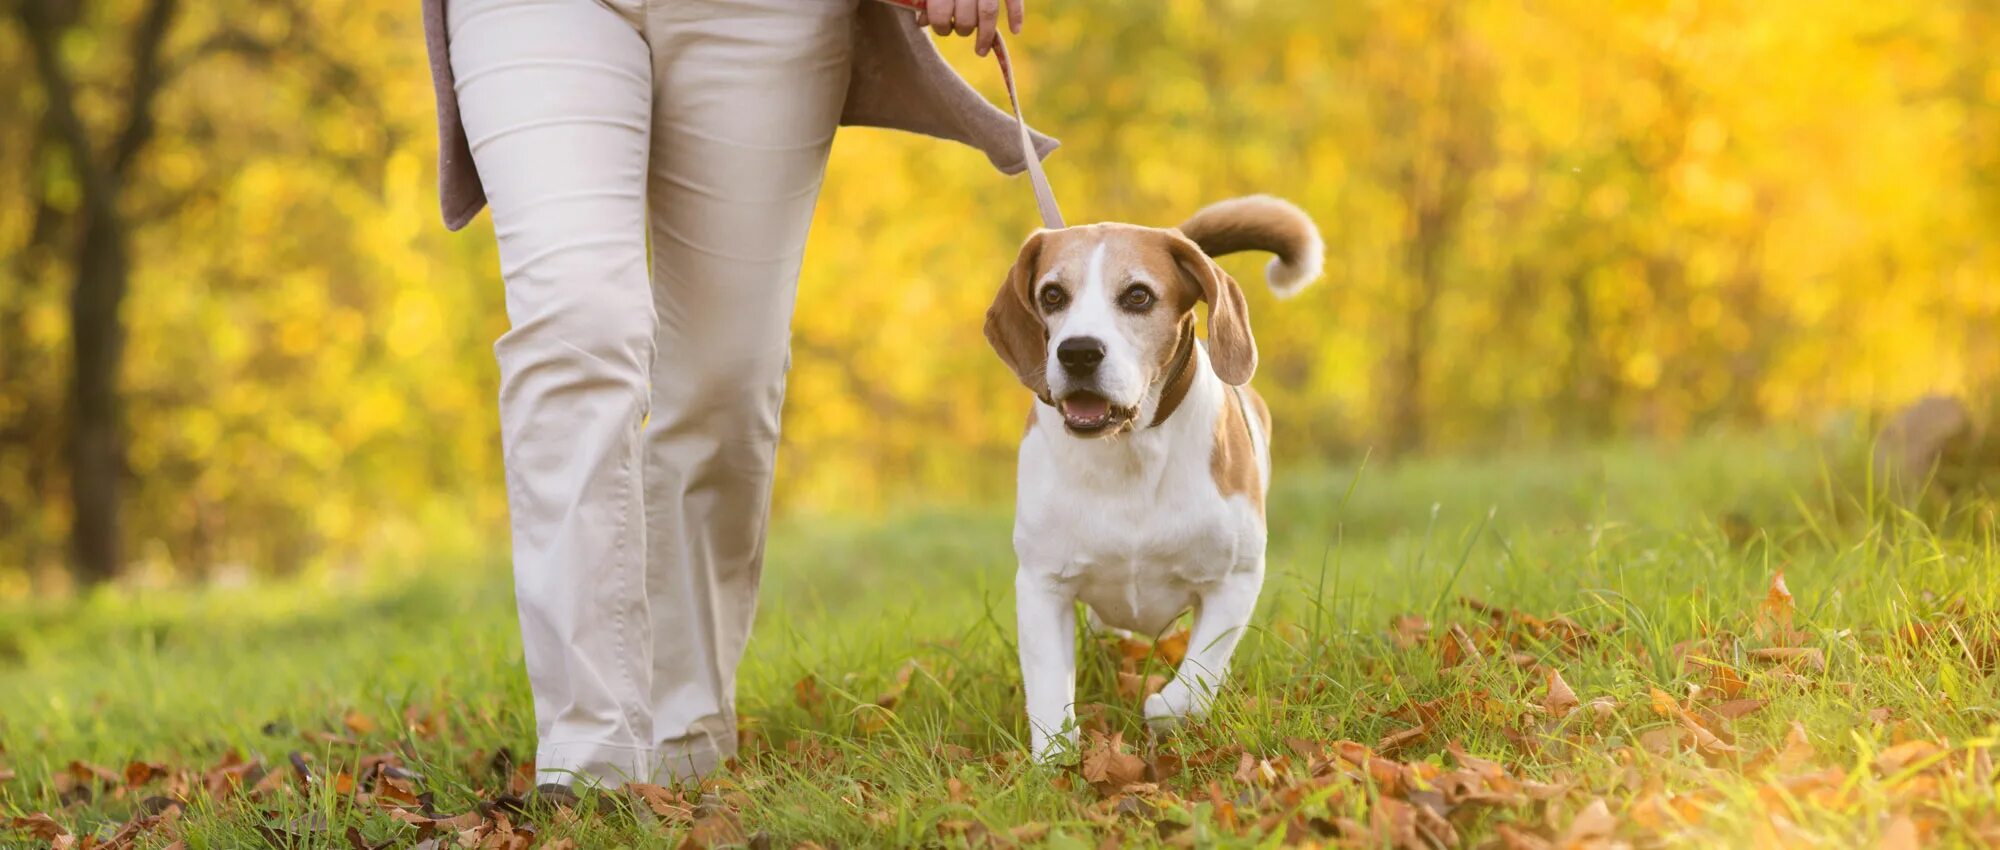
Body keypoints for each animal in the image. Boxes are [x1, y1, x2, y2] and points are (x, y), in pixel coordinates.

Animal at [988, 194, 1328, 756]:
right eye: (1052, 294)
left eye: (1138, 295)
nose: (1078, 352)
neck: (1128, 451)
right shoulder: (1042, 584)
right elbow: (1049, 690)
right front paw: (1056, 759)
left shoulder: (1236, 579)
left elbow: (1195, 680)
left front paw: (1162, 709)